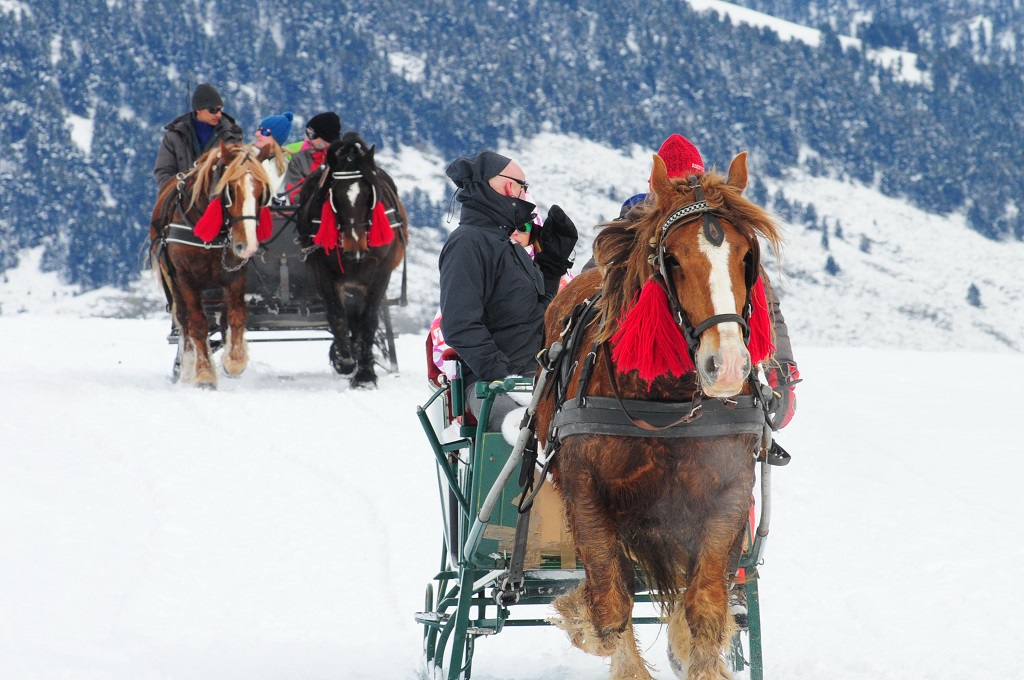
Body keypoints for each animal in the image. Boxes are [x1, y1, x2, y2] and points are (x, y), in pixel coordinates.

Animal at [149, 143, 272, 387]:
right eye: (230, 190)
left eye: (261, 192)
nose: (248, 246)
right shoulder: (185, 278)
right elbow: (197, 324)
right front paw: (204, 373)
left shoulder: (235, 276)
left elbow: (236, 316)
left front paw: (234, 361)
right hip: (172, 279)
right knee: (183, 319)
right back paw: (187, 367)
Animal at [294, 131, 405, 387]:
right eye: (334, 194)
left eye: (369, 194)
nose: (354, 247)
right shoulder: (324, 273)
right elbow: (337, 315)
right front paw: (344, 360)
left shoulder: (381, 272)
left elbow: (369, 319)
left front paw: (365, 375)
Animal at [532, 153, 778, 680]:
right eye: (673, 258)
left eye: (747, 257)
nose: (728, 365)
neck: (665, 405)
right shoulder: (585, 491)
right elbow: (609, 609)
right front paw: (581, 619)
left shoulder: (727, 493)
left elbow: (703, 610)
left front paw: (697, 652)